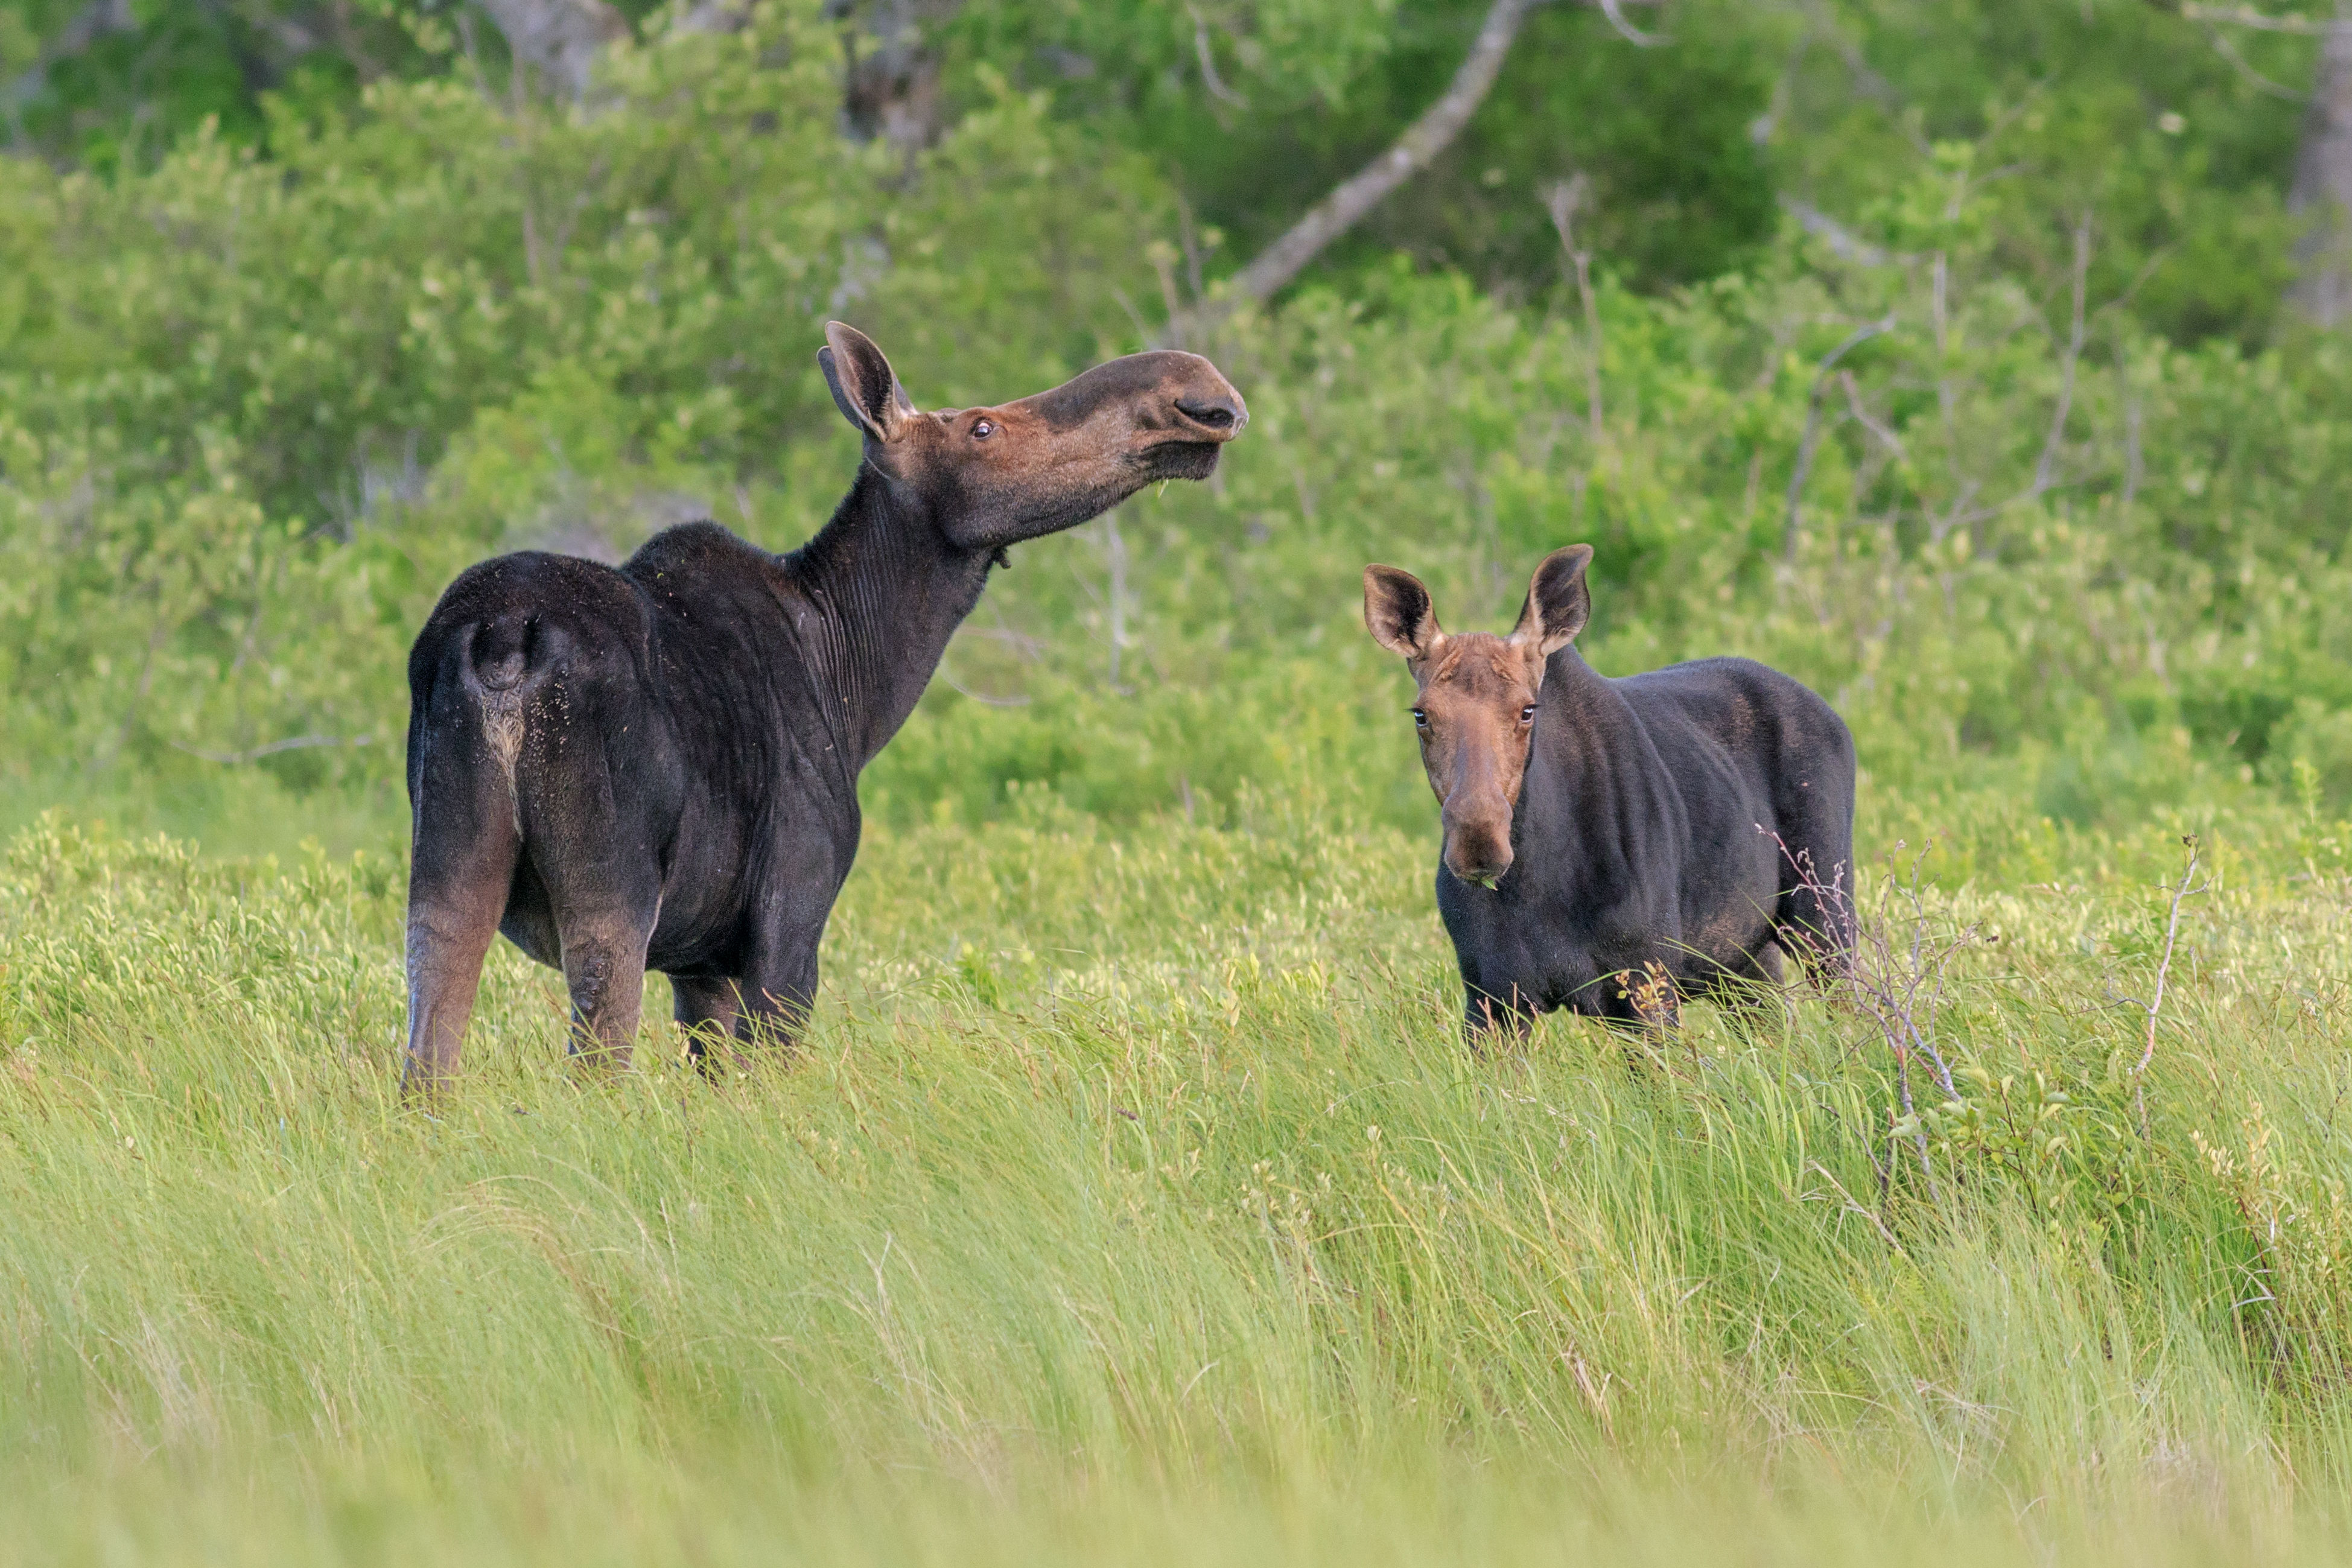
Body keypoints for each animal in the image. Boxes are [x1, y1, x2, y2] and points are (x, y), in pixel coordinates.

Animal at [401, 322, 1246, 1093]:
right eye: (982, 426)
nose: (1200, 398)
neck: (860, 688)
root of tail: (503, 637)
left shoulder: (700, 962)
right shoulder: (790, 914)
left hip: (444, 874)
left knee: (427, 1056)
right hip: (612, 891)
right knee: (596, 1066)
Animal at [1361, 545, 1855, 1041]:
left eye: (1527, 710)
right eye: (1421, 715)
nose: (1478, 840)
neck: (1536, 882)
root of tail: (1834, 715)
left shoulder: (1647, 984)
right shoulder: (1490, 999)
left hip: (1825, 914)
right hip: (1744, 958)